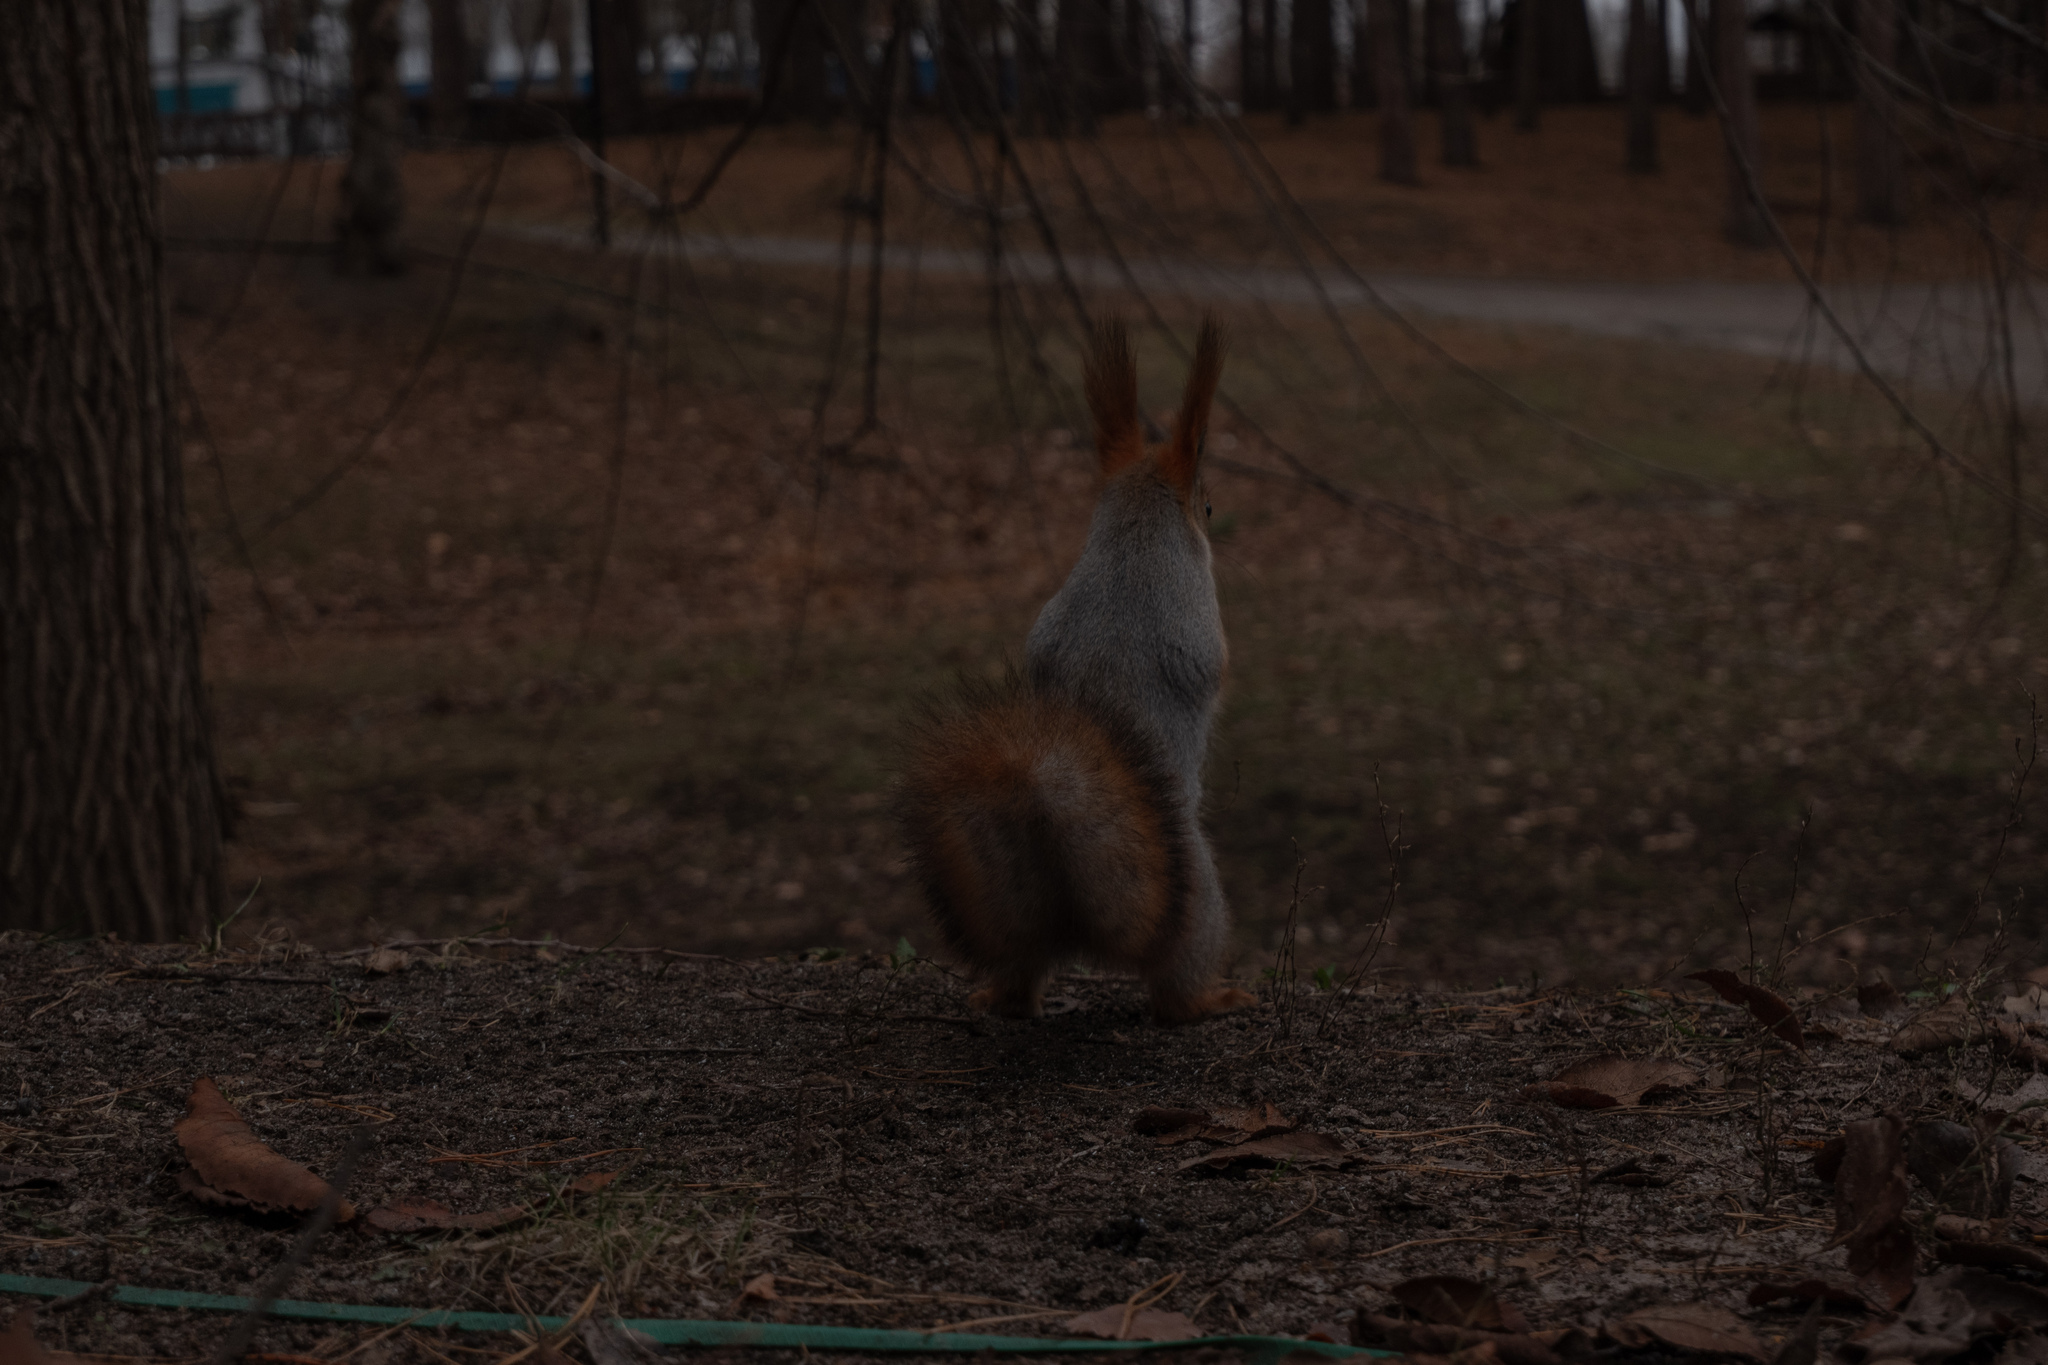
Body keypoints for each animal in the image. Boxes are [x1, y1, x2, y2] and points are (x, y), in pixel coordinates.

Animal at [901, 317, 1253, 1023]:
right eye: (1204, 507)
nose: (1215, 520)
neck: (1133, 541)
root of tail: (1076, 921)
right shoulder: (1198, 624)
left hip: (1009, 915)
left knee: (1017, 968)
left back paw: (1000, 995)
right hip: (1197, 897)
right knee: (1174, 994)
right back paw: (1212, 998)